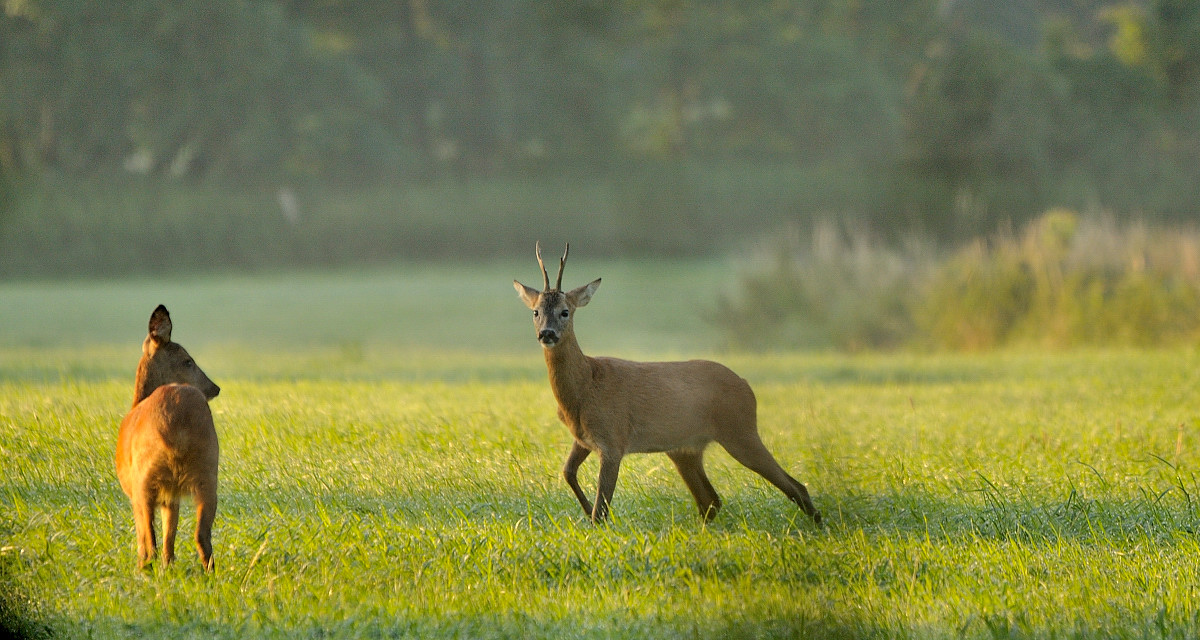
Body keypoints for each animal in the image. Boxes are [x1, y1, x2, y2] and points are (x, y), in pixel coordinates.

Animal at [116, 304, 223, 569]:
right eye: (188, 361)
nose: (215, 388)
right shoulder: (171, 497)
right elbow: (170, 537)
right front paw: (170, 566)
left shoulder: (135, 493)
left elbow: (146, 538)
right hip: (208, 469)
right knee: (202, 536)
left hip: (145, 478)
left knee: (149, 545)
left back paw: (144, 570)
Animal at [511, 242, 820, 521]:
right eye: (535, 312)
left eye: (565, 311)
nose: (547, 334)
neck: (585, 387)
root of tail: (747, 386)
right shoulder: (584, 438)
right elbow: (568, 473)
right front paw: (585, 511)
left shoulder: (613, 438)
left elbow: (602, 507)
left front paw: (595, 521)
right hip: (685, 449)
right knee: (711, 501)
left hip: (740, 430)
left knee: (795, 486)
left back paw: (816, 524)